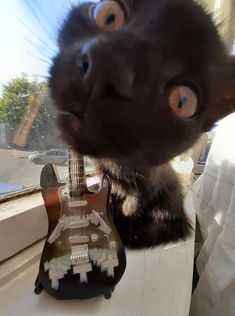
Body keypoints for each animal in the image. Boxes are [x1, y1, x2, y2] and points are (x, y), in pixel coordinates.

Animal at [48, 0, 234, 249]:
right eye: (108, 16)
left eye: (182, 102)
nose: (107, 69)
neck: (116, 162)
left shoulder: (148, 185)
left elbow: (136, 202)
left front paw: (125, 214)